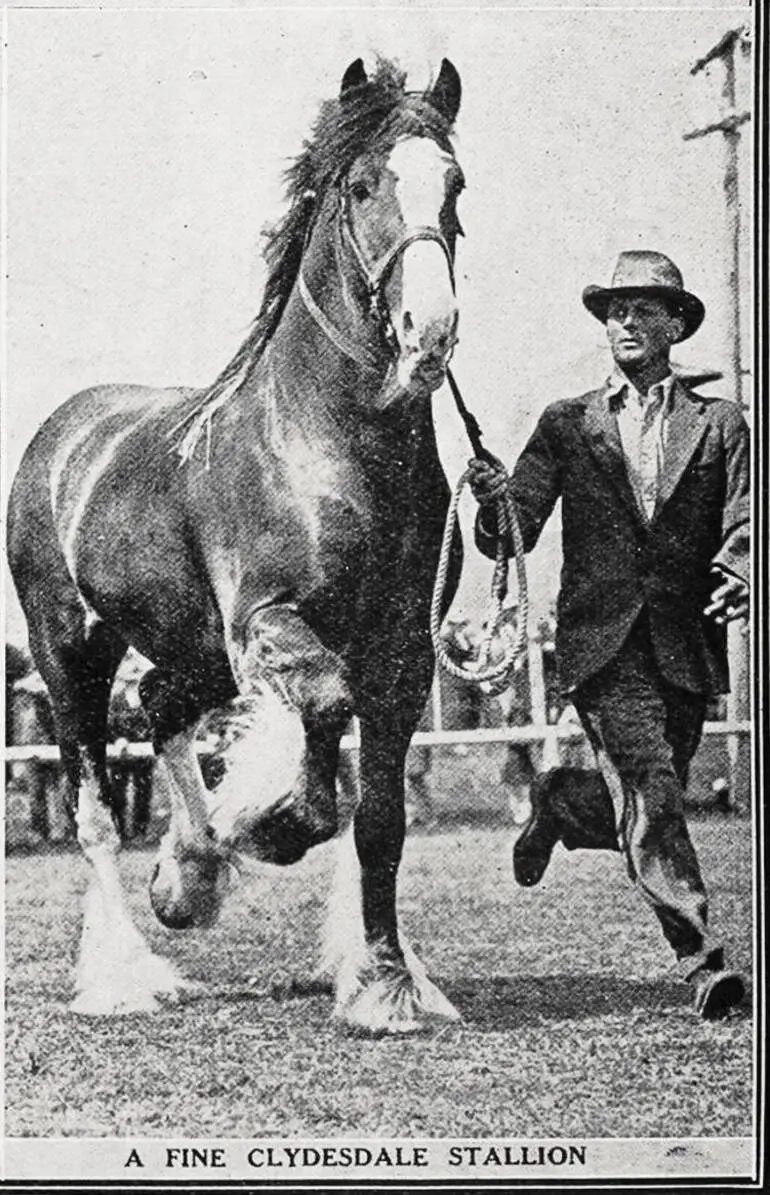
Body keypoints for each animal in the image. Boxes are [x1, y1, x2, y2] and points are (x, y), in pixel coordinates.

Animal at [7, 56, 463, 1032]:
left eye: (454, 184)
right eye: (362, 186)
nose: (431, 332)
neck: (326, 445)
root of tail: (62, 434)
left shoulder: (403, 652)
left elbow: (381, 822)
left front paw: (385, 982)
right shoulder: (267, 617)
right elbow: (325, 708)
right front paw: (274, 820)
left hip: (190, 647)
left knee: (160, 706)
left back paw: (191, 872)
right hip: (69, 653)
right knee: (94, 806)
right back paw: (125, 973)